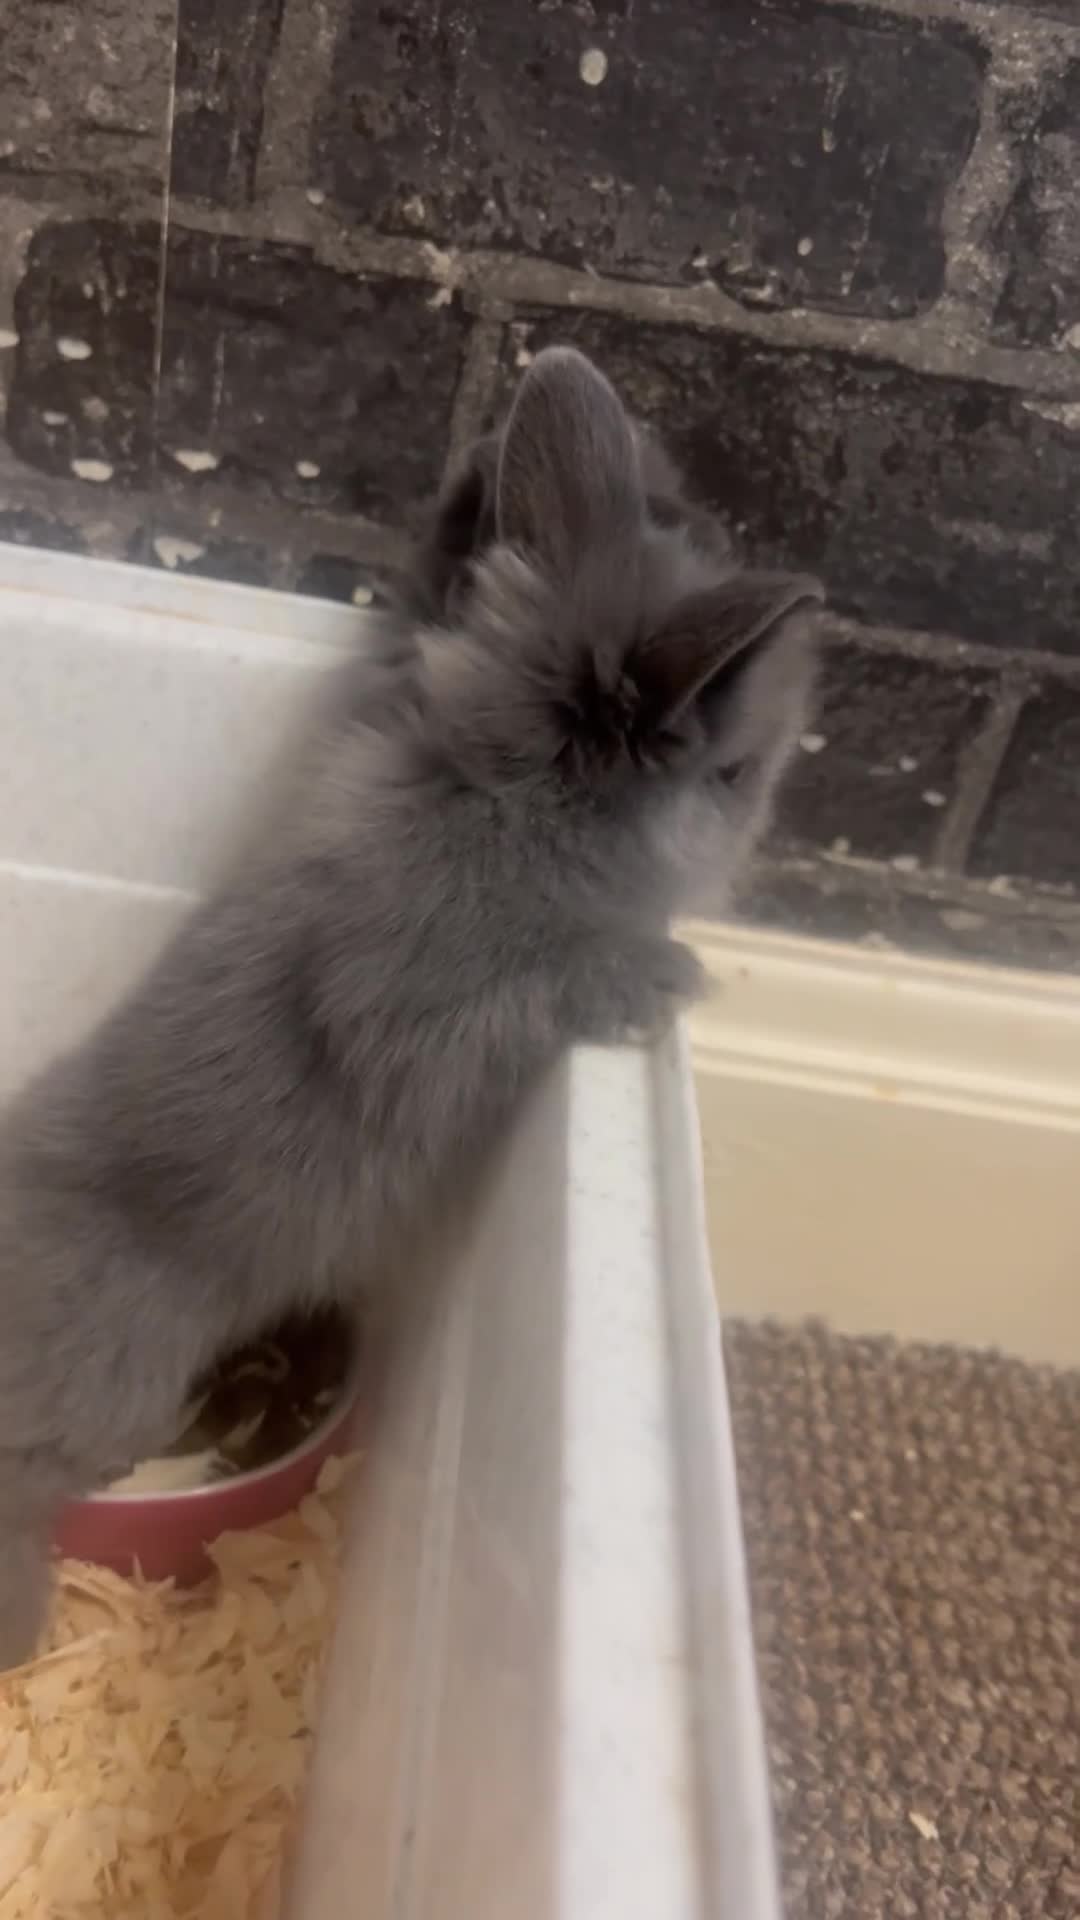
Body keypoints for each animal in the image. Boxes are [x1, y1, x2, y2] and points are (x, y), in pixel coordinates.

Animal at [0, 344, 822, 1668]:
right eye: (738, 768)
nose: (761, 826)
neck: (503, 797)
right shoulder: (415, 1013)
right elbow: (530, 996)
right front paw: (664, 977)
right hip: (109, 1386)